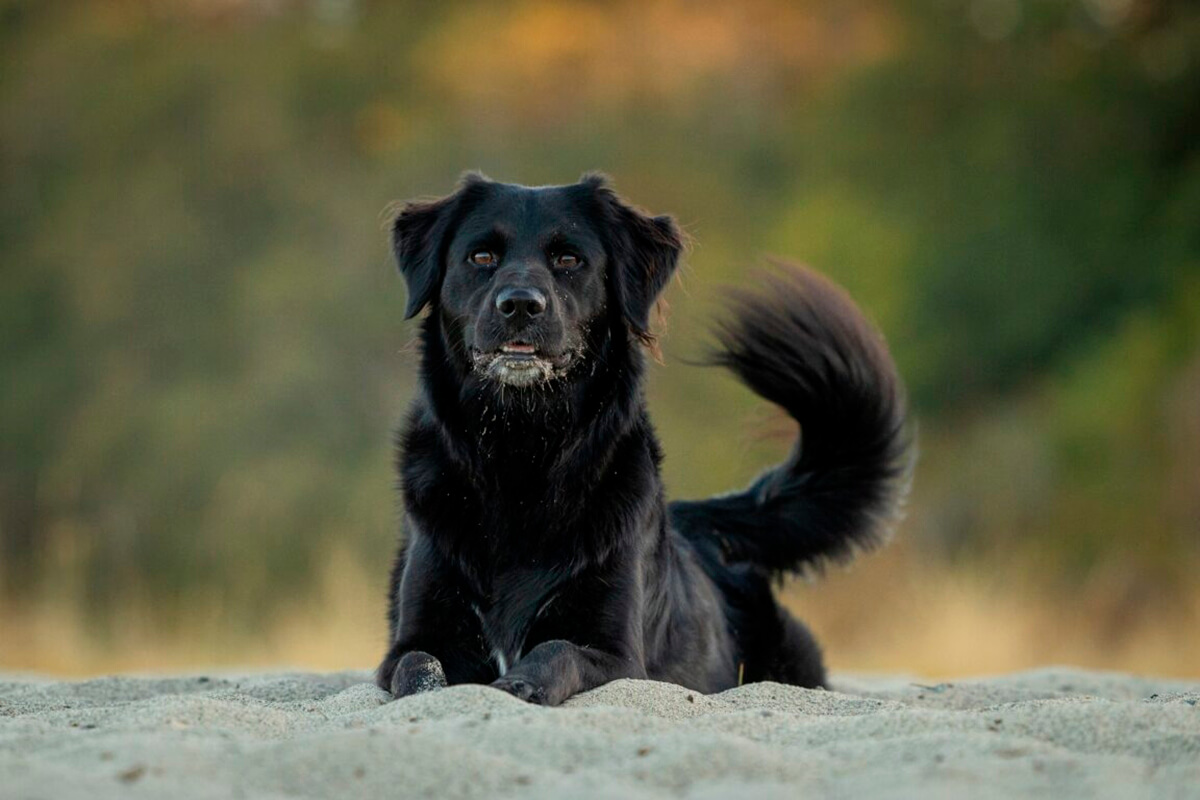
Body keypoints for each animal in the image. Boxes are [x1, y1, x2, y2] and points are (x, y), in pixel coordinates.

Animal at [374, 172, 907, 705]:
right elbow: (419, 665)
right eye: (481, 256)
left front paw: (521, 684)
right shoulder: (411, 641)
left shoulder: (618, 654)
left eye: (569, 260)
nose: (521, 304)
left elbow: (557, 651)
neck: (520, 452)